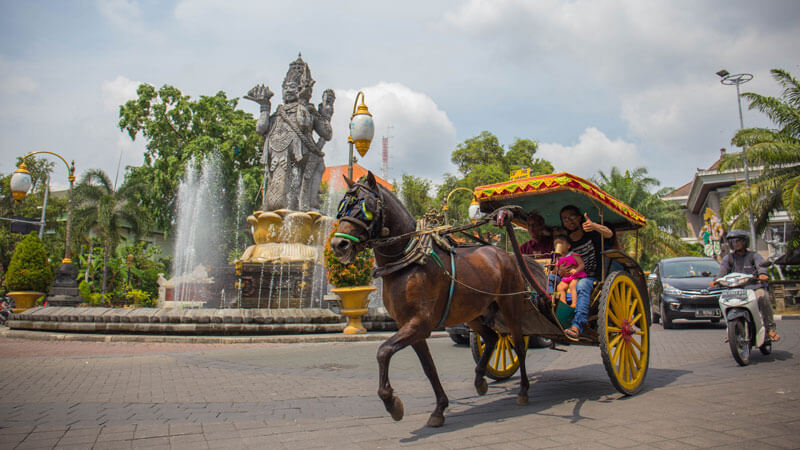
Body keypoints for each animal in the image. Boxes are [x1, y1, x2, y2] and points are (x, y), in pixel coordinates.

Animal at [328, 171, 536, 428]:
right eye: (342, 207)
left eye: (365, 206)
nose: (339, 245)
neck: (407, 262)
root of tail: (502, 253)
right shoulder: (409, 326)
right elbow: (429, 368)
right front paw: (439, 408)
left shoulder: (420, 323)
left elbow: (383, 351)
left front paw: (392, 403)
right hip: (473, 312)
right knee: (492, 337)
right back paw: (480, 380)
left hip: (510, 304)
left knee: (517, 344)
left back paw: (523, 390)